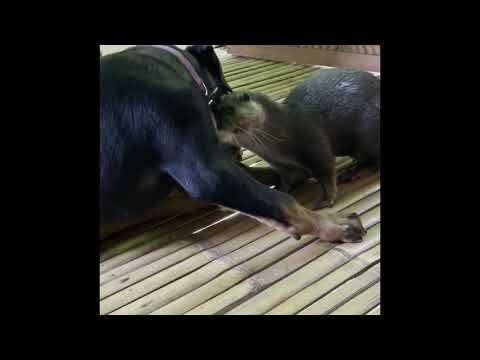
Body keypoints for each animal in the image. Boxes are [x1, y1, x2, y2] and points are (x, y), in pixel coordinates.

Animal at [216, 68, 380, 208]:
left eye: (228, 111)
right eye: (214, 110)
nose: (217, 124)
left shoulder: (315, 143)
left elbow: (326, 172)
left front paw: (327, 199)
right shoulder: (284, 166)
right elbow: (291, 179)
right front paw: (280, 191)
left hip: (366, 137)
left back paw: (353, 172)